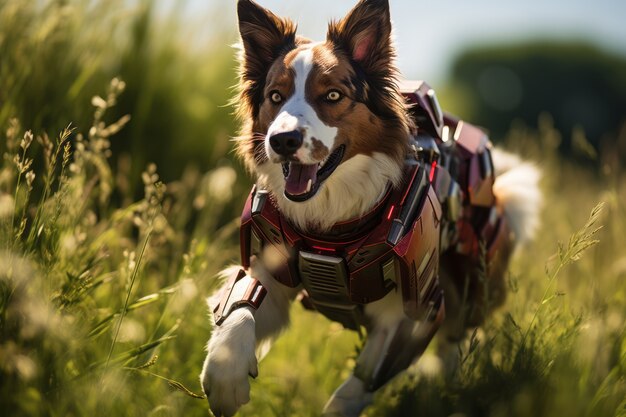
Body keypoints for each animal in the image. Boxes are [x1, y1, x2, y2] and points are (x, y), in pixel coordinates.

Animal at [201, 0, 540, 416]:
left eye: (332, 96)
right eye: (276, 97)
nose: (282, 141)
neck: (331, 224)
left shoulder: (415, 309)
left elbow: (361, 382)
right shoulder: (272, 268)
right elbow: (240, 308)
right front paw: (225, 380)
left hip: (472, 285)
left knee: (453, 343)